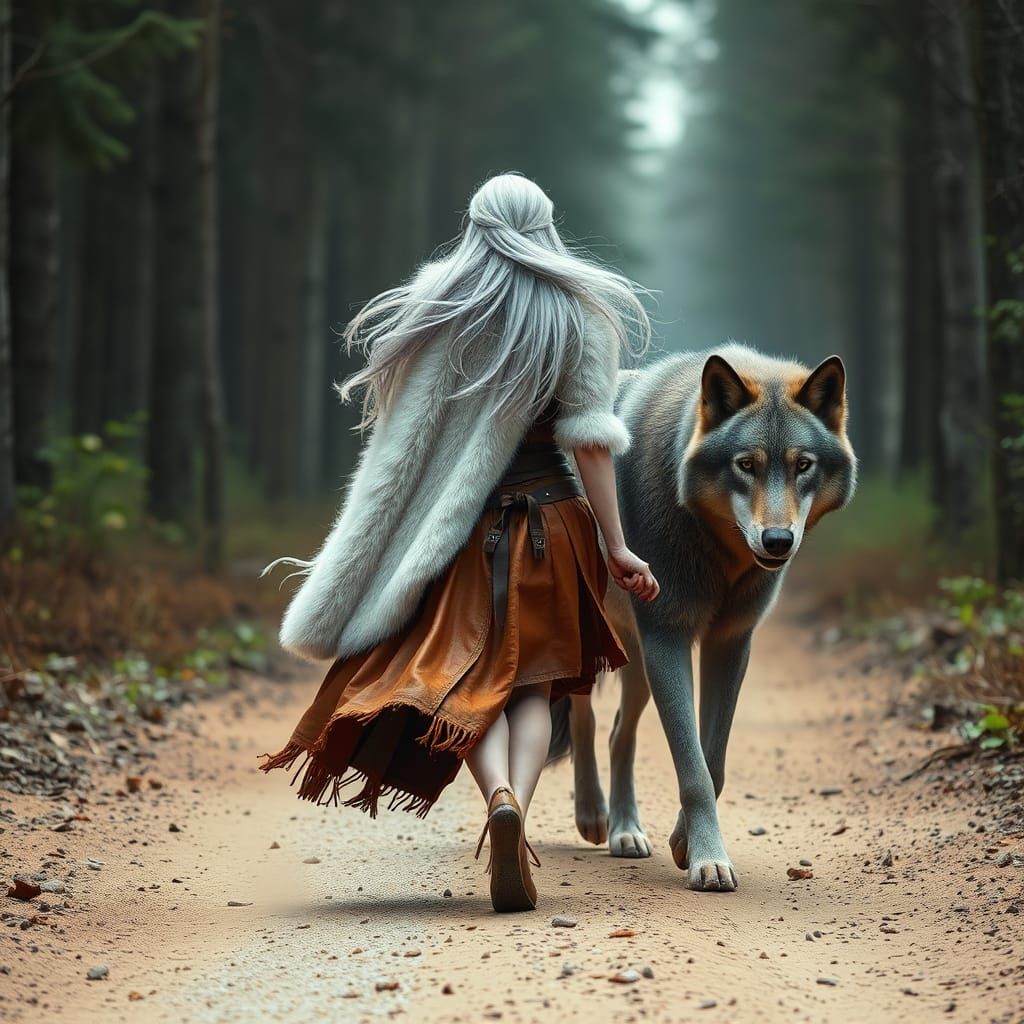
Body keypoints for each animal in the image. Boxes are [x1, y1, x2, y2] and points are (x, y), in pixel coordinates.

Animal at [553, 345, 857, 891]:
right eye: (746, 465)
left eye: (803, 465)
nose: (777, 541)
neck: (720, 557)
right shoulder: (669, 639)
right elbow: (692, 767)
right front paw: (708, 861)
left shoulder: (730, 644)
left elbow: (711, 763)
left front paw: (682, 842)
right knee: (582, 718)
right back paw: (592, 816)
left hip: (638, 664)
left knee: (618, 732)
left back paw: (625, 831)